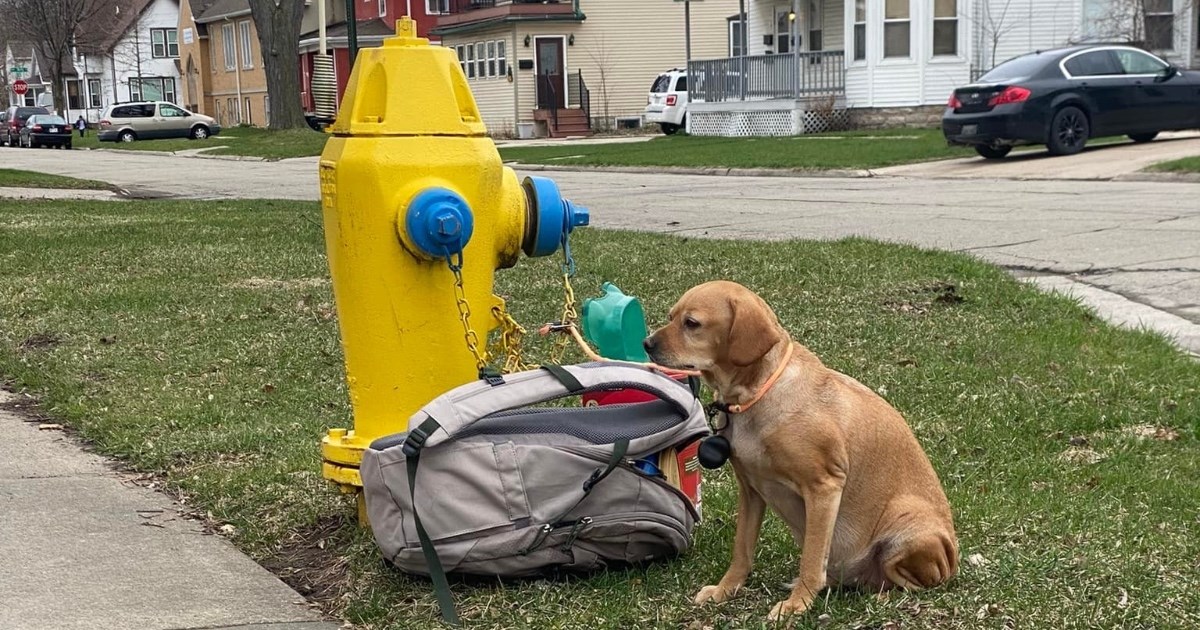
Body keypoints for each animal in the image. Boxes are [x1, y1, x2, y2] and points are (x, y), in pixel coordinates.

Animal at [643, 282, 960, 619]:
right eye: (671, 316)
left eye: (692, 323)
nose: (646, 343)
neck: (756, 394)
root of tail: (952, 559)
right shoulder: (751, 491)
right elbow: (742, 550)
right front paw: (724, 590)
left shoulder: (824, 487)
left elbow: (811, 558)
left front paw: (797, 604)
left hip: (906, 529)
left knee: (912, 582)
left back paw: (881, 596)